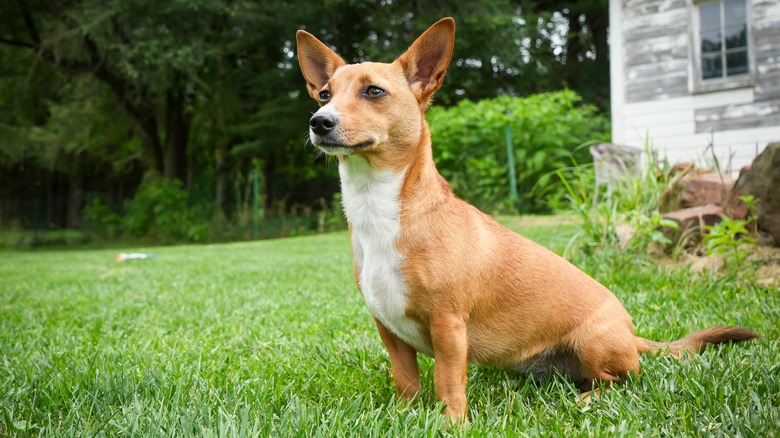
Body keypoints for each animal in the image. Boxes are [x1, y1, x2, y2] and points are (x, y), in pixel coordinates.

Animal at [294, 18, 756, 424]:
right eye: (324, 94)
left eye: (374, 91)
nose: (319, 122)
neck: (380, 209)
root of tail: (631, 332)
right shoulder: (390, 331)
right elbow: (406, 382)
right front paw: (406, 418)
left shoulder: (448, 327)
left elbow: (448, 382)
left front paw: (452, 423)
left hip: (595, 343)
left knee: (623, 382)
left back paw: (586, 400)